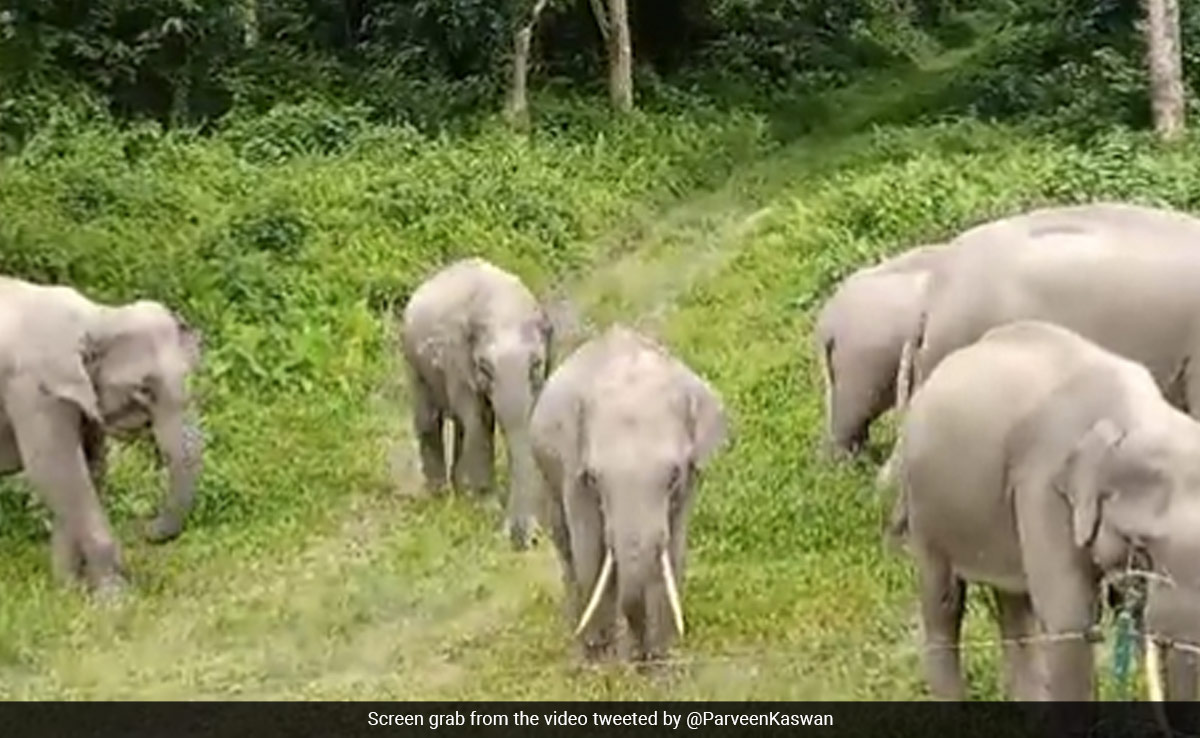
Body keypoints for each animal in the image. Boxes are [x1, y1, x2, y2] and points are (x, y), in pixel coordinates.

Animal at [0, 276, 203, 593]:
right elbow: (57, 471)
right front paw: (114, 595)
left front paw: (70, 588)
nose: (143, 528)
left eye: (190, 374)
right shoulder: (35, 390)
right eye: (144, 389)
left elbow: (92, 467)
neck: (97, 317)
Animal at [401, 257, 552, 551]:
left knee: (462, 426)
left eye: (536, 364)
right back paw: (440, 495)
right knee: (430, 420)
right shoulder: (456, 362)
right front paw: (488, 508)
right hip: (413, 363)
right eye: (485, 368)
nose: (524, 541)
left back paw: (460, 490)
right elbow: (479, 421)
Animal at [529, 324, 727, 662]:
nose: (641, 655)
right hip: (546, 473)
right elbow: (590, 549)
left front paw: (660, 650)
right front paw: (598, 653)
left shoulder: (691, 477)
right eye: (595, 479)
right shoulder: (573, 470)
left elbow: (672, 549)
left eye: (673, 476)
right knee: (565, 542)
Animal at [883, 319, 1200, 701]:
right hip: (925, 506)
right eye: (1140, 546)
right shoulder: (1041, 485)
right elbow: (1069, 619)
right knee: (944, 602)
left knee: (1013, 604)